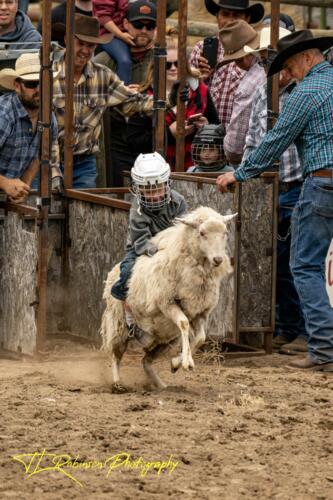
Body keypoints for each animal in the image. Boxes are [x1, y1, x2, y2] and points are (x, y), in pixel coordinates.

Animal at [100, 206, 235, 390]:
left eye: (225, 233)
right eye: (202, 233)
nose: (218, 259)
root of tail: (113, 271)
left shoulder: (200, 312)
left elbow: (201, 338)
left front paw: (177, 363)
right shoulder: (167, 303)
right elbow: (184, 324)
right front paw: (186, 363)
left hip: (165, 339)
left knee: (145, 361)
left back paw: (160, 385)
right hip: (118, 324)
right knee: (115, 355)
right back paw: (117, 383)